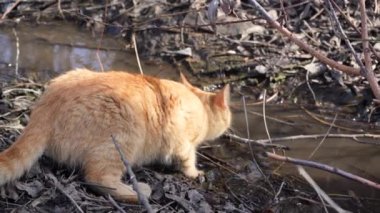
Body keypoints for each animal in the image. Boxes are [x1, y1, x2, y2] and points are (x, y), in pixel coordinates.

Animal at [0, 69, 232, 203]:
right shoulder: (183, 144)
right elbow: (188, 160)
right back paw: (139, 192)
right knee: (98, 178)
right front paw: (195, 173)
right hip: (123, 140)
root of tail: (44, 109)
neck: (199, 105)